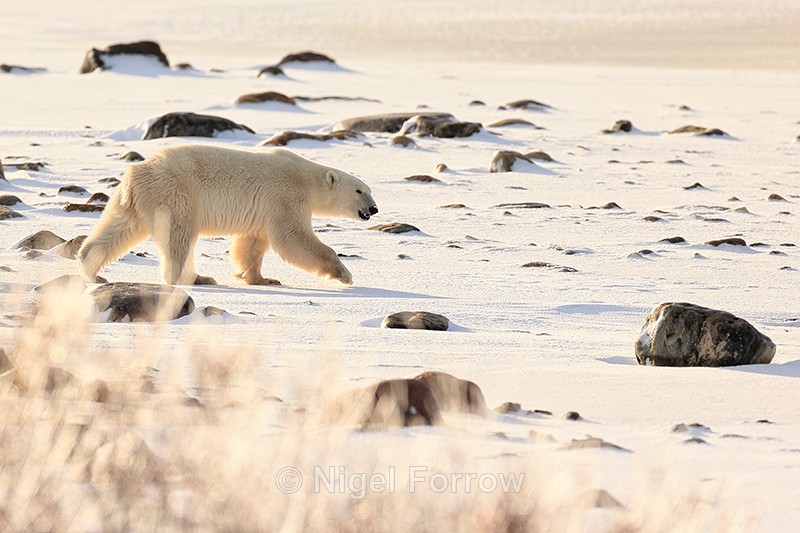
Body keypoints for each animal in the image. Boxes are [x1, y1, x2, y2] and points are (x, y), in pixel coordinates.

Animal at [77, 144, 378, 286]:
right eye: (360, 190)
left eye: (370, 190)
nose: (374, 209)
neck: (307, 178)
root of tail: (137, 173)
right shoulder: (286, 195)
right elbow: (293, 238)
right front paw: (345, 274)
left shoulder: (263, 208)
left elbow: (253, 243)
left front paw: (261, 278)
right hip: (177, 194)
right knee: (179, 237)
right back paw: (197, 278)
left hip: (132, 201)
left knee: (117, 228)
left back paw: (91, 268)